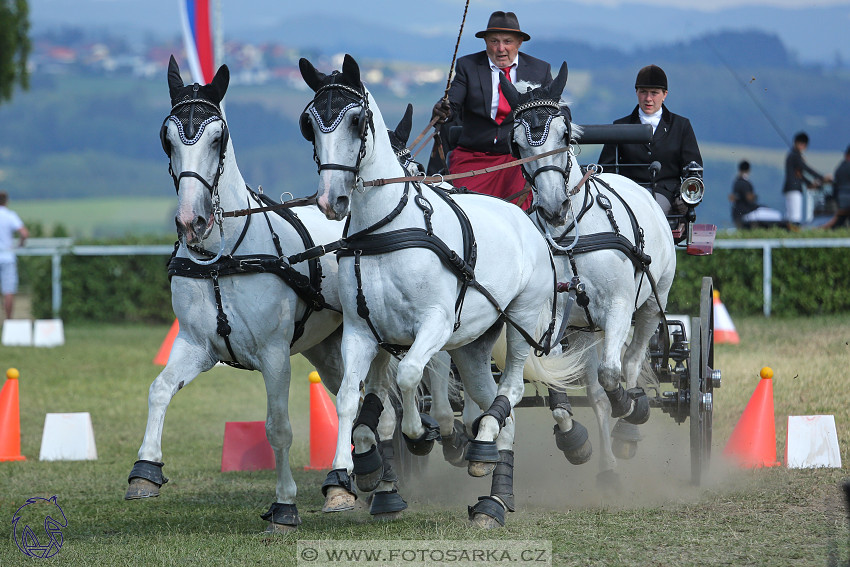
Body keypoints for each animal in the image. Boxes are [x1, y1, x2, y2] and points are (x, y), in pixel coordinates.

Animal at [122, 55, 430, 532]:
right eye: (166, 137)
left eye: (218, 137)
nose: (192, 221)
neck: (225, 255)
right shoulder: (195, 345)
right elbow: (159, 389)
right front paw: (145, 471)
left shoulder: (273, 354)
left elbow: (278, 428)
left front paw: (285, 506)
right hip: (327, 346)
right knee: (359, 402)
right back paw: (363, 479)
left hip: (374, 337)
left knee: (383, 410)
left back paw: (381, 487)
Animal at [298, 54, 576, 528]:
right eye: (310, 124)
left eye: (357, 121)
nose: (331, 200)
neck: (386, 229)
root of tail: (526, 220)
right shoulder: (361, 332)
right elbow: (351, 398)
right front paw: (345, 476)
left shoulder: (435, 325)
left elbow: (410, 374)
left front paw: (421, 433)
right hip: (474, 345)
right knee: (497, 408)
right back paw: (492, 486)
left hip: (520, 324)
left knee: (511, 392)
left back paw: (484, 467)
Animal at [500, 63, 672, 480]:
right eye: (517, 144)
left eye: (564, 134)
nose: (553, 208)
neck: (572, 238)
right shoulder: (552, 317)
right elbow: (553, 374)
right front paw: (573, 438)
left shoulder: (619, 307)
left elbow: (614, 373)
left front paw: (631, 407)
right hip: (585, 328)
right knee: (596, 393)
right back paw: (608, 466)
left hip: (649, 304)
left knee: (631, 362)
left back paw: (630, 424)